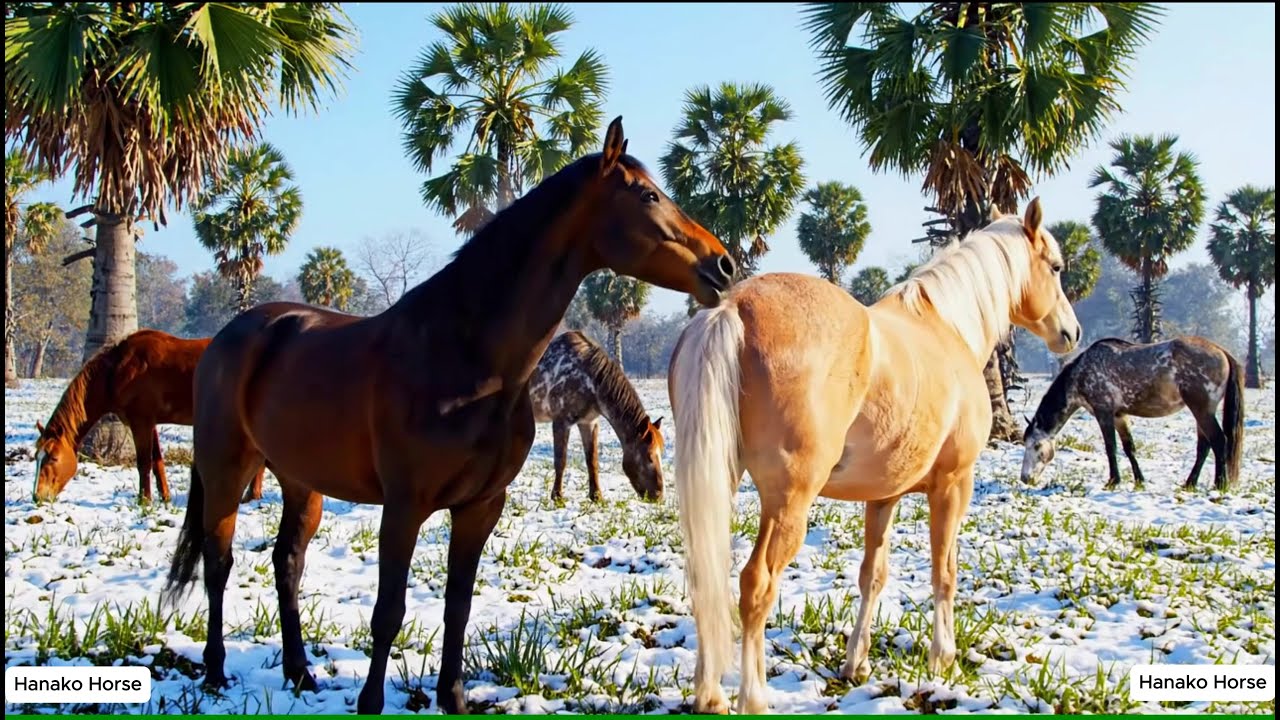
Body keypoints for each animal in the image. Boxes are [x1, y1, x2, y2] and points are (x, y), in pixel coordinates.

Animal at [31, 329, 265, 505]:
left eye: (53, 457)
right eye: (37, 457)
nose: (37, 496)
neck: (119, 368)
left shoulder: (140, 422)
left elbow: (143, 463)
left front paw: (144, 500)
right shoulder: (150, 422)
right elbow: (157, 462)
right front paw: (164, 497)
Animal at [529, 330, 665, 503]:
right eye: (648, 457)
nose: (658, 495)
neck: (590, 381)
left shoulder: (589, 422)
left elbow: (592, 460)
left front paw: (596, 496)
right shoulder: (561, 422)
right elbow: (561, 460)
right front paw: (557, 496)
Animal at [667, 199, 1082, 714]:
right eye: (1056, 267)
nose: (1071, 333)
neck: (946, 328)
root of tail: (732, 308)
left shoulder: (883, 498)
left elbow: (872, 576)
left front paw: (855, 664)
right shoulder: (953, 484)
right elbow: (944, 571)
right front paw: (942, 657)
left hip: (716, 482)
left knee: (706, 577)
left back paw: (709, 695)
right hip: (788, 503)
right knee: (756, 584)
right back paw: (754, 697)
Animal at [1020, 336, 1244, 492]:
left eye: (1036, 446)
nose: (1025, 478)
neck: (1082, 373)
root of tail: (1221, 351)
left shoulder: (1104, 412)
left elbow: (1111, 447)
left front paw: (1113, 481)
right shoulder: (1119, 415)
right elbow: (1129, 448)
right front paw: (1139, 480)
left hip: (1202, 410)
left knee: (1218, 441)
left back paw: (1219, 484)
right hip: (1202, 412)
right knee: (1204, 447)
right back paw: (1190, 483)